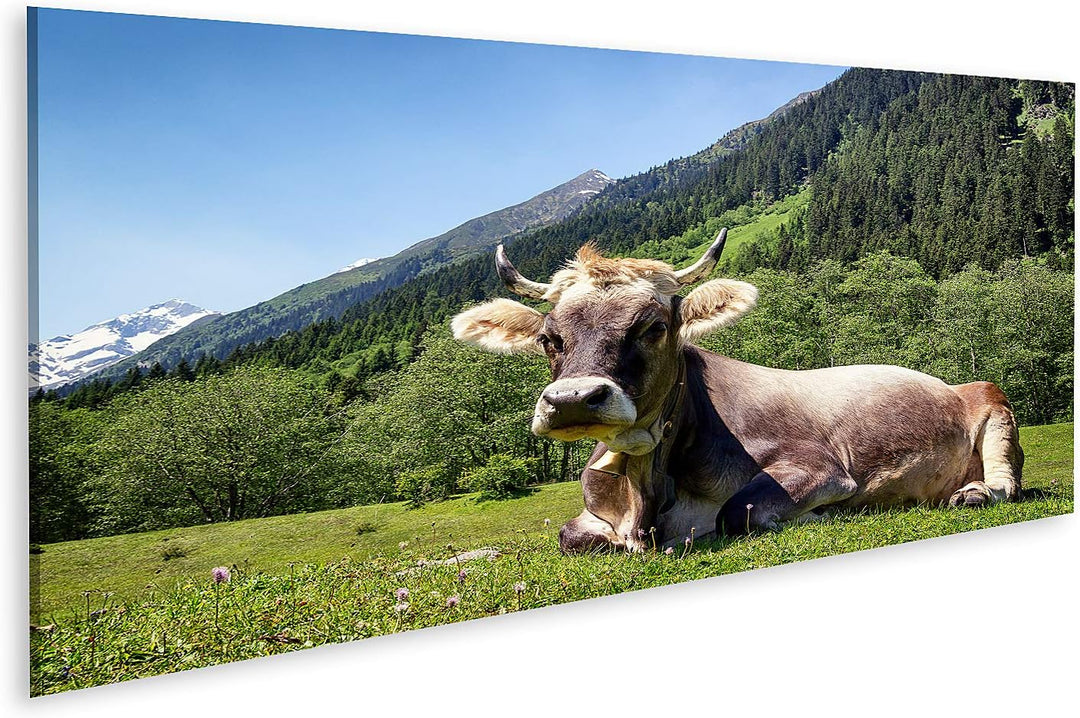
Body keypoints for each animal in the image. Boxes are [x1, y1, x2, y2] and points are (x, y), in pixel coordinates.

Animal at [451, 230, 1024, 553]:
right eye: (549, 338)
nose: (573, 400)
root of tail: (949, 384)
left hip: (992, 401)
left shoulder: (820, 466)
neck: (646, 497)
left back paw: (975, 492)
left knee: (1005, 481)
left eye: (655, 327)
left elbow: (736, 512)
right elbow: (569, 536)